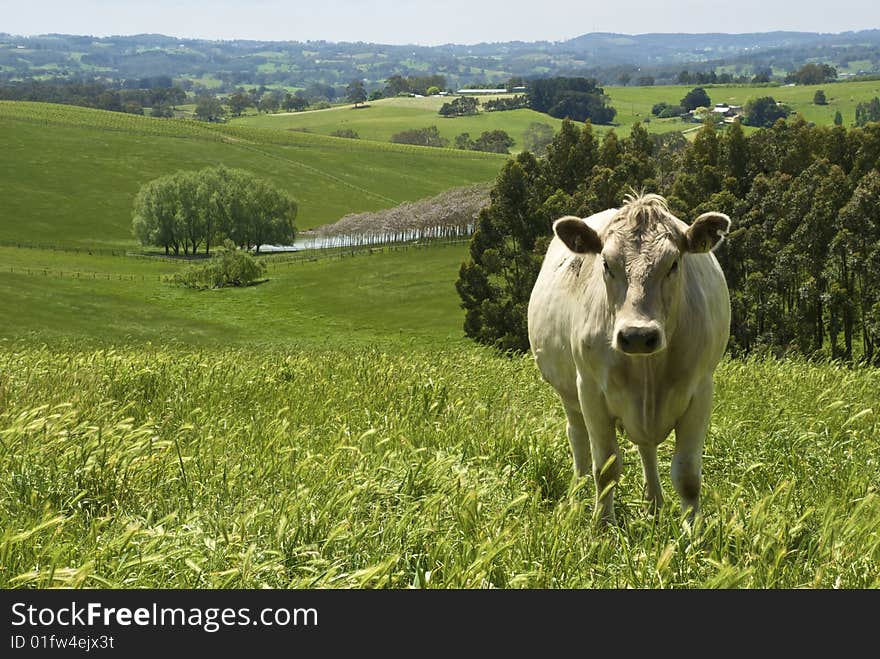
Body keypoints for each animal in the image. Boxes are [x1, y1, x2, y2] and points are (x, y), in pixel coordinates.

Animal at [528, 192, 728, 524]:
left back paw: (654, 505)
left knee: (646, 448)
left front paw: (692, 530)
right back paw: (576, 497)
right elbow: (606, 469)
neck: (648, 368)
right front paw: (602, 525)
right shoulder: (590, 391)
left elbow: (688, 476)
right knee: (578, 440)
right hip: (568, 395)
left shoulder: (701, 390)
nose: (637, 335)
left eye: (674, 263)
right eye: (606, 264)